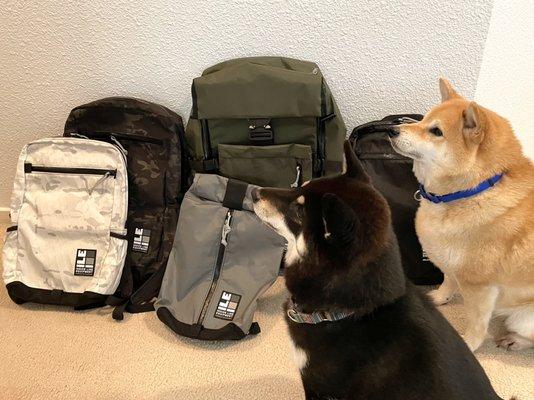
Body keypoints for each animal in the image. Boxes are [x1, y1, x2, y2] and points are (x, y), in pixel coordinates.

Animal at [390, 79, 534, 354]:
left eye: (436, 131)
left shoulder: (480, 288)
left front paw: (468, 344)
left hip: (523, 319)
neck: (472, 190)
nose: (392, 130)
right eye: (423, 120)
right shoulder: (450, 263)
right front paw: (439, 298)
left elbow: (477, 325)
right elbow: (448, 281)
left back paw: (515, 340)